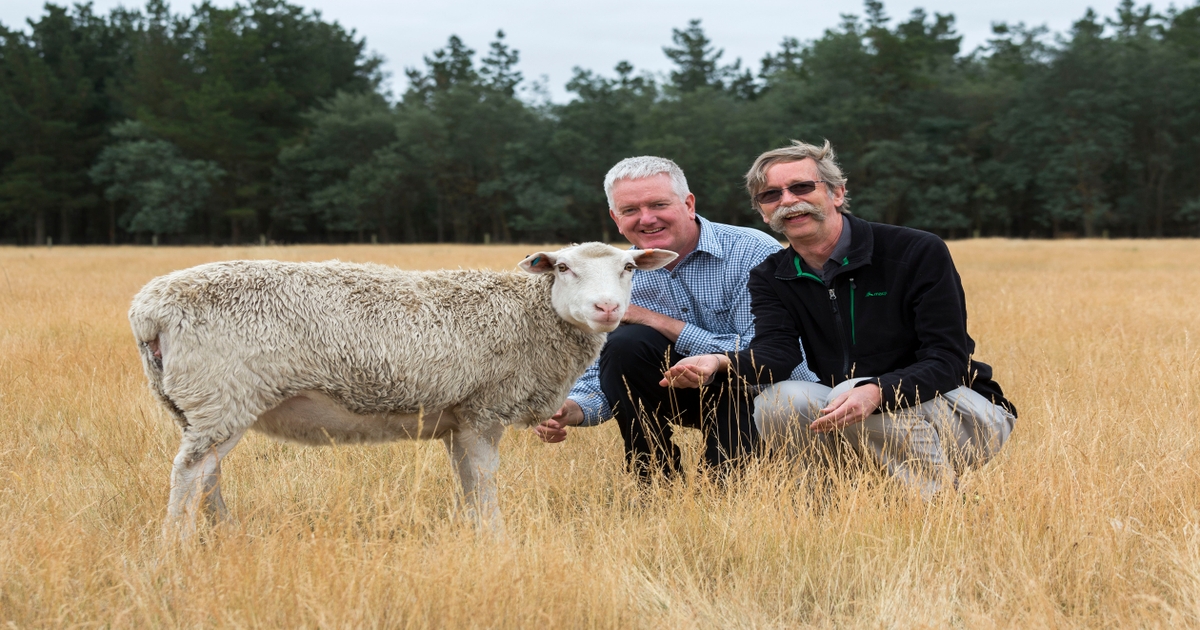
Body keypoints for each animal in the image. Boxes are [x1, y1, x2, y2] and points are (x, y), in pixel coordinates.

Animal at [129, 242, 677, 538]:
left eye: (629, 268)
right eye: (563, 268)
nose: (607, 308)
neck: (532, 315)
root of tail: (149, 309)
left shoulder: (457, 420)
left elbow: (466, 481)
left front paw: (473, 532)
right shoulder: (483, 410)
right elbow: (484, 480)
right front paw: (496, 537)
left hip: (201, 405)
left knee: (207, 474)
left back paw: (223, 533)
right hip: (222, 394)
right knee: (190, 473)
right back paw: (176, 545)